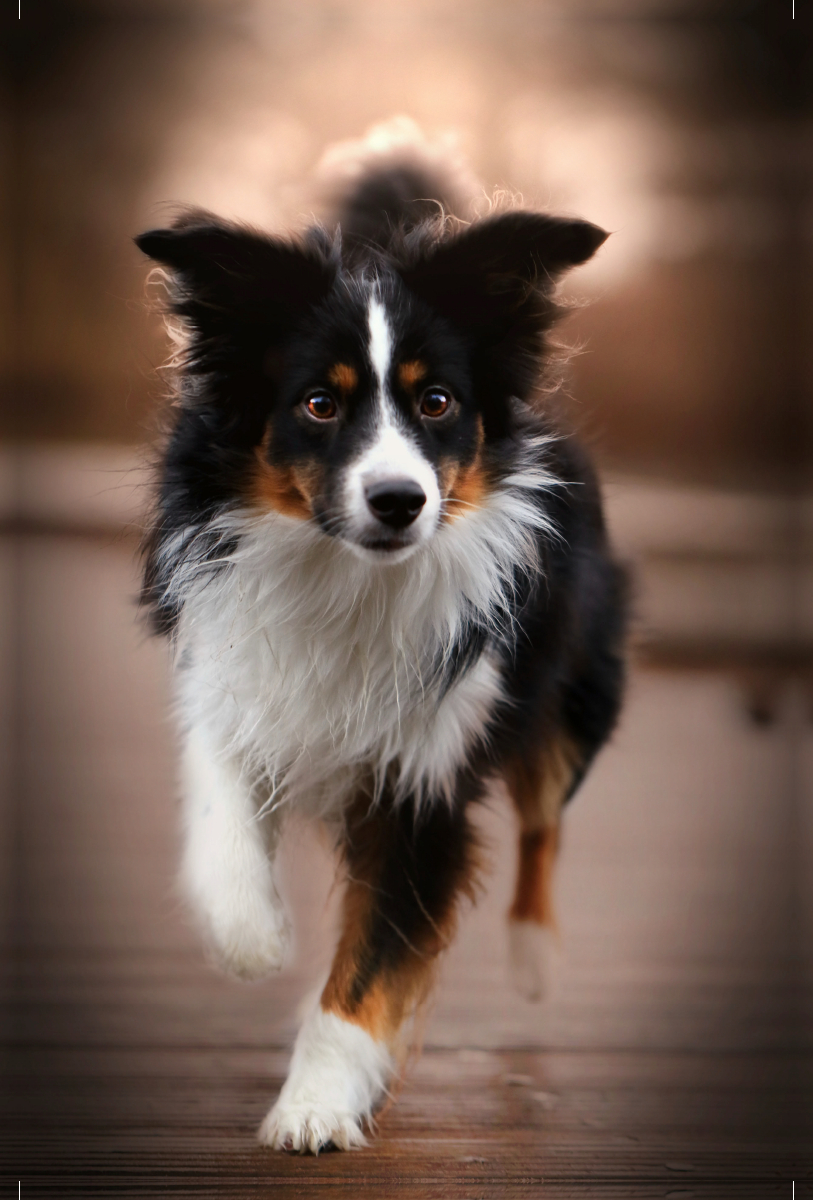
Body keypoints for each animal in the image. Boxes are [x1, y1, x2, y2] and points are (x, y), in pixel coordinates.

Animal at [135, 138, 628, 1152]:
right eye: (320, 404)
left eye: (435, 401)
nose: (399, 500)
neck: (346, 574)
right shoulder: (231, 673)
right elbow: (219, 806)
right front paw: (252, 937)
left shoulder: (424, 782)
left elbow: (368, 966)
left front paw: (315, 1104)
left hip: (572, 692)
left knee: (543, 818)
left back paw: (533, 959)